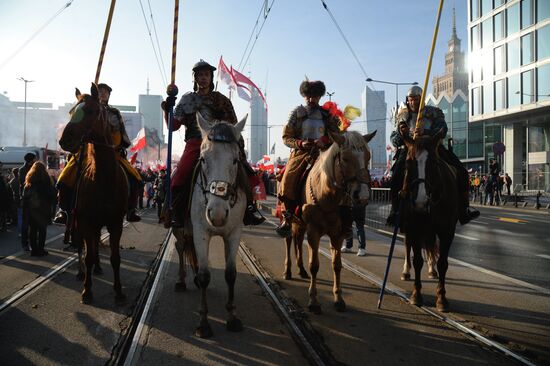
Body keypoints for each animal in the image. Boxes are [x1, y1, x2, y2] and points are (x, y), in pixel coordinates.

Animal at [59, 84, 128, 304]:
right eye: (71, 111)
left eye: (90, 111)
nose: (65, 140)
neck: (103, 179)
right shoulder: (86, 221)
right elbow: (88, 254)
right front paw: (87, 291)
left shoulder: (115, 223)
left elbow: (115, 258)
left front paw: (119, 292)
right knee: (83, 245)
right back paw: (81, 272)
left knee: (96, 244)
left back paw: (98, 267)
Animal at [175, 111, 248, 338]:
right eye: (203, 159)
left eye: (235, 160)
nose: (217, 214)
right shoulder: (201, 232)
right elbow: (205, 275)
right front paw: (204, 323)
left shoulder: (234, 233)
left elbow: (231, 274)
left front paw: (232, 317)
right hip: (179, 227)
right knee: (180, 247)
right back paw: (181, 280)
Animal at [288, 130, 376, 314]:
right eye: (345, 158)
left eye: (368, 156)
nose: (363, 196)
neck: (327, 195)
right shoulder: (313, 232)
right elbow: (314, 265)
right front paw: (314, 301)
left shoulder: (338, 234)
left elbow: (337, 265)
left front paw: (339, 299)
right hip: (291, 220)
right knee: (289, 240)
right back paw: (288, 271)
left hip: (300, 224)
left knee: (298, 241)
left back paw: (301, 269)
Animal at [402, 132, 462, 312]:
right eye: (409, 162)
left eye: (434, 163)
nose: (420, 203)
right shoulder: (414, 228)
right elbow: (417, 260)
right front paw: (416, 295)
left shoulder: (447, 231)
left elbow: (443, 263)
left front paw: (442, 299)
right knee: (407, 245)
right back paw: (406, 271)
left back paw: (431, 269)